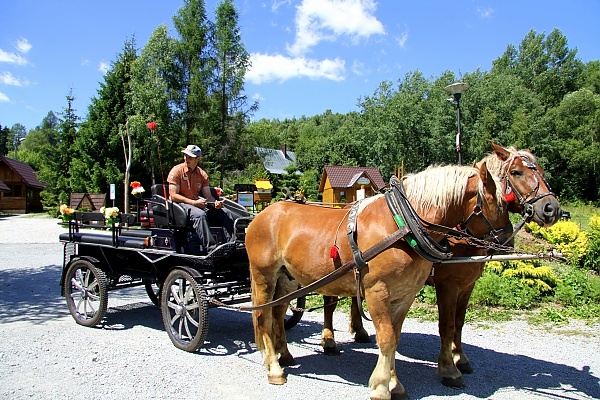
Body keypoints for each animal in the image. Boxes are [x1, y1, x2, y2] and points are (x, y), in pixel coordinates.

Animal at [247, 162, 510, 400]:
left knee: (278, 313)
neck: (401, 225)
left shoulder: (404, 295)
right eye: (500, 202)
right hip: (264, 276)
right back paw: (274, 368)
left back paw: (284, 355)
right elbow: (386, 338)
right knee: (263, 317)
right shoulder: (378, 292)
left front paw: (395, 384)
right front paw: (382, 386)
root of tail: (263, 215)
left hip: (287, 279)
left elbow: (395, 337)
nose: (507, 239)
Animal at [318, 141, 564, 388]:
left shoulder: (467, 285)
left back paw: (359, 330)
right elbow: (446, 325)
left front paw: (460, 358)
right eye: (516, 172)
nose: (552, 209)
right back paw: (329, 340)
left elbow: (459, 323)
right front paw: (448, 368)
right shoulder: (448, 285)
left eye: (541, 171)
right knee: (329, 303)